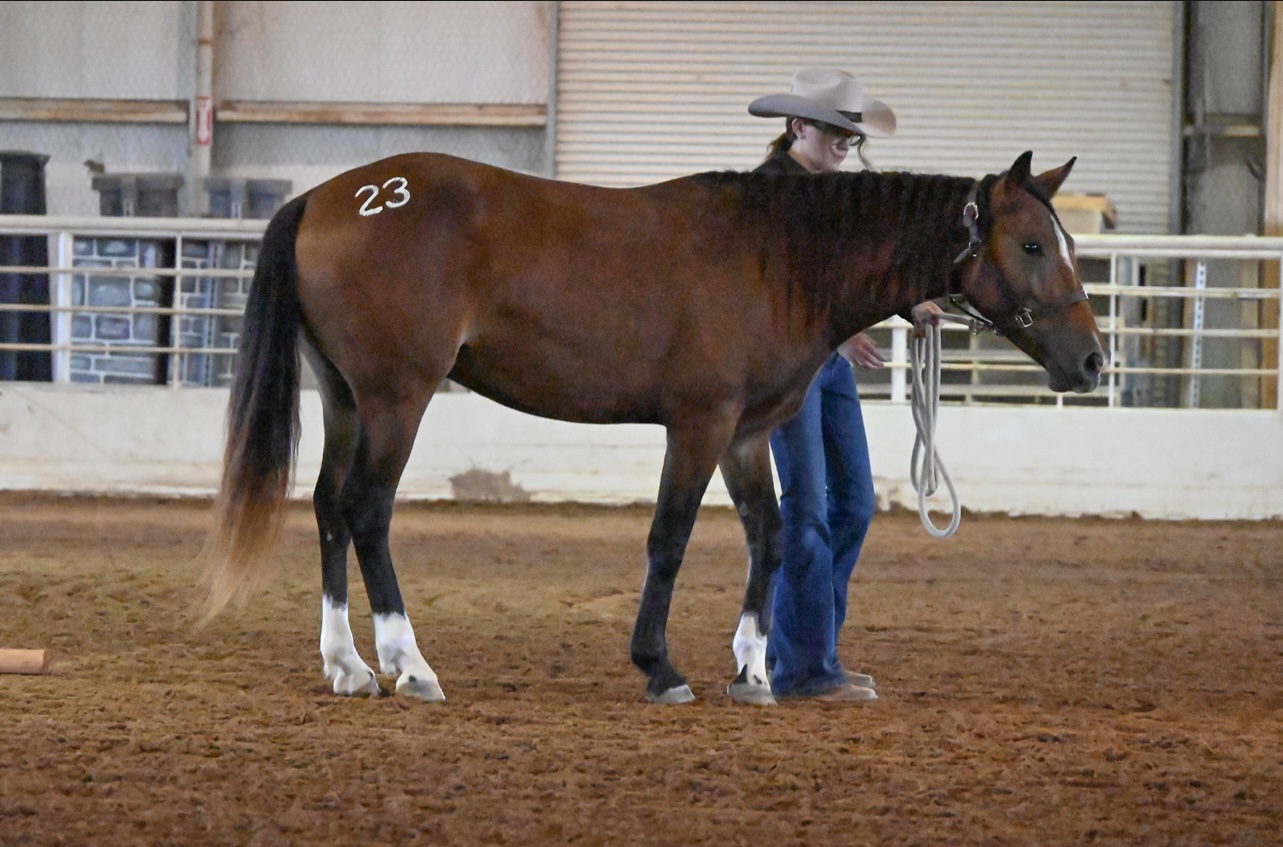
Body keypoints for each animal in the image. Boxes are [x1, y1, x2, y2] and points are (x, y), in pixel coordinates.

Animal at [199, 150, 1106, 706]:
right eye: (1032, 243)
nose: (1093, 361)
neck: (779, 254)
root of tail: (327, 197)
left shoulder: (745, 433)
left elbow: (769, 536)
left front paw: (752, 670)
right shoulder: (697, 423)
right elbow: (669, 538)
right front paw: (659, 665)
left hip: (346, 397)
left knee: (326, 508)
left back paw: (347, 665)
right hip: (397, 397)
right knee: (366, 512)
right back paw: (407, 664)